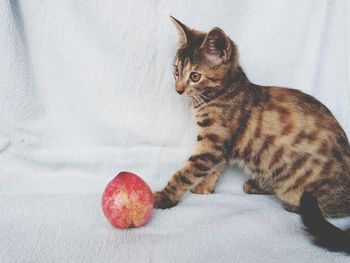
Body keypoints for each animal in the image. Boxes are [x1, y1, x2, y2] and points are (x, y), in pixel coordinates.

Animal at [155, 16, 350, 254]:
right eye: (175, 70)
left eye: (195, 76)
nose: (178, 89)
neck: (223, 92)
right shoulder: (219, 144)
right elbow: (216, 167)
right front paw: (204, 188)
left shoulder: (213, 143)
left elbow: (186, 172)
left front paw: (164, 197)